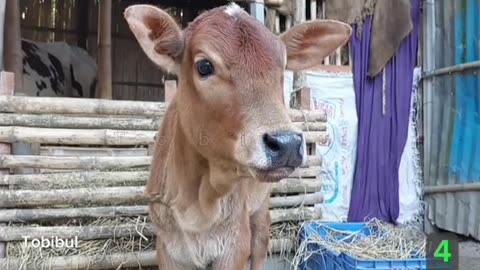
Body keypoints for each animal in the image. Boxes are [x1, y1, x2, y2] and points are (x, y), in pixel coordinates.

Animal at [124, 3, 348, 268]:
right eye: (204, 66)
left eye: (283, 67)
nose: (287, 144)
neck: (198, 205)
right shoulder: (168, 248)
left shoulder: (235, 242)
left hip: (260, 204)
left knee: (261, 241)